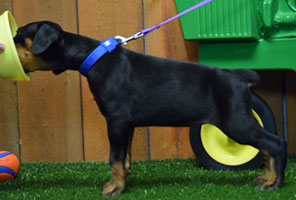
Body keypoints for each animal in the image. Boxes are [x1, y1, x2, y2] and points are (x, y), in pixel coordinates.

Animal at [13, 21, 286, 196]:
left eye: (18, 36)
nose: (5, 45)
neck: (94, 58)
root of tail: (239, 76)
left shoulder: (116, 121)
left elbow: (114, 158)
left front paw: (113, 189)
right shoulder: (128, 125)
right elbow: (125, 159)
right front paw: (123, 185)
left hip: (236, 122)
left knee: (275, 144)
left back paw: (274, 183)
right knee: (267, 147)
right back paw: (266, 178)